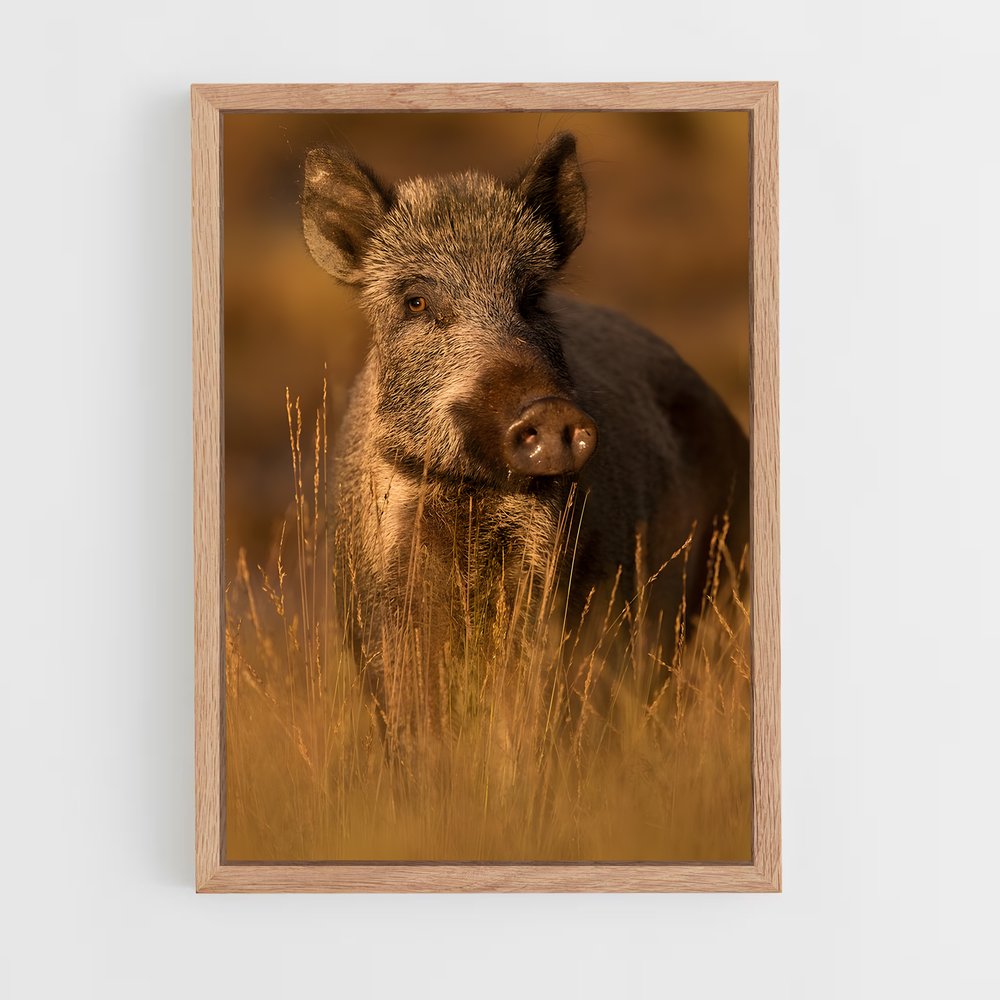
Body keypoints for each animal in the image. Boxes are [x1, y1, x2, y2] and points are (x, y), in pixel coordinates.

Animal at [300, 132, 749, 727]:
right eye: (416, 301)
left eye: (531, 298)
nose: (549, 410)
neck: (468, 496)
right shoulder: (383, 589)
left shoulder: (548, 582)